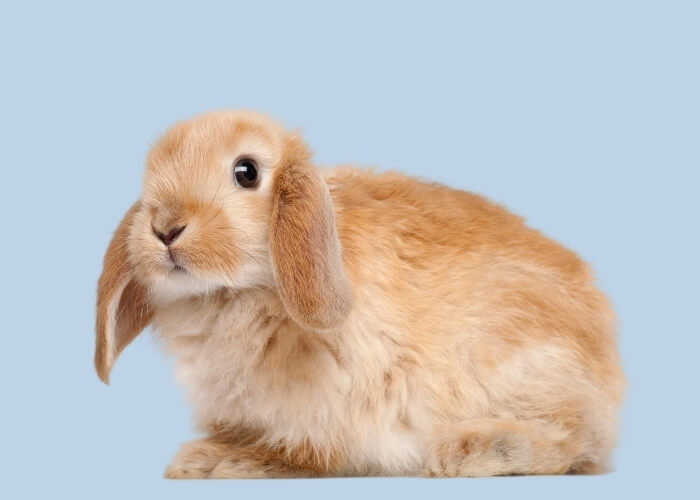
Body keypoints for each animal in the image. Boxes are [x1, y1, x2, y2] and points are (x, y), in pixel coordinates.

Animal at [95, 110, 624, 478]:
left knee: (572, 441)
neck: (238, 290)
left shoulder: (334, 410)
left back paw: (474, 451)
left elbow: (305, 453)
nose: (164, 228)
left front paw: (230, 462)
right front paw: (202, 458)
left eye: (247, 172)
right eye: (150, 174)